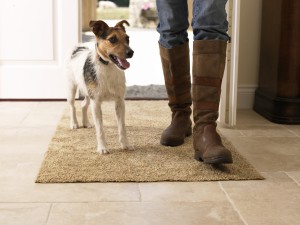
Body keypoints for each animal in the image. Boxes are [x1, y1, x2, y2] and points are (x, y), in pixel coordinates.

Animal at [66, 20, 135, 154]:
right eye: (112, 39)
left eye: (127, 38)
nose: (131, 53)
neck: (108, 66)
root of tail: (79, 48)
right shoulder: (96, 103)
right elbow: (100, 129)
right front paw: (102, 148)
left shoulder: (120, 102)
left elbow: (122, 127)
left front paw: (125, 145)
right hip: (72, 87)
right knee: (72, 106)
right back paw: (74, 124)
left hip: (88, 92)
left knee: (83, 105)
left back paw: (86, 123)